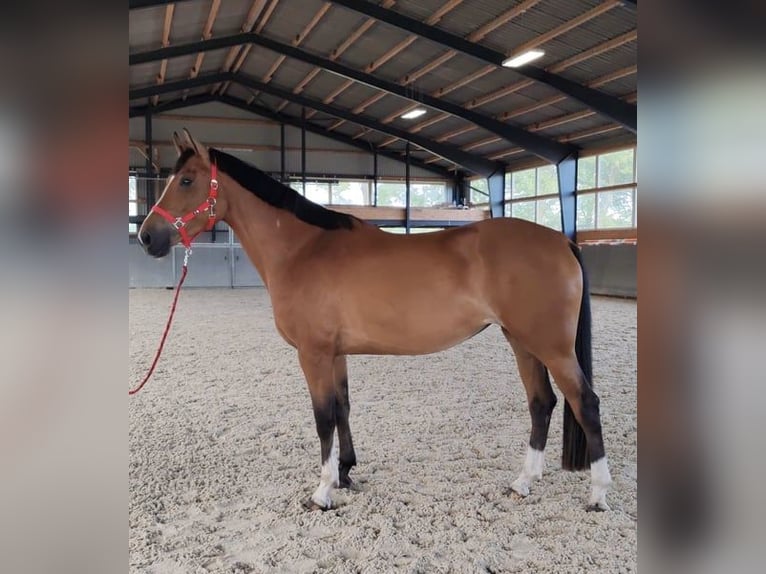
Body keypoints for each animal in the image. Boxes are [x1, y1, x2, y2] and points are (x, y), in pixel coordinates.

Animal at [137, 129, 612, 512]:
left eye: (186, 180)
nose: (146, 237)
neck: (303, 248)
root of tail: (561, 241)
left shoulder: (313, 354)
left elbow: (322, 417)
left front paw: (323, 491)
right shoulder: (335, 353)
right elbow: (342, 408)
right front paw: (346, 472)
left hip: (550, 346)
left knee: (585, 403)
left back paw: (598, 495)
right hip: (521, 341)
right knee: (542, 404)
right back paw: (523, 482)